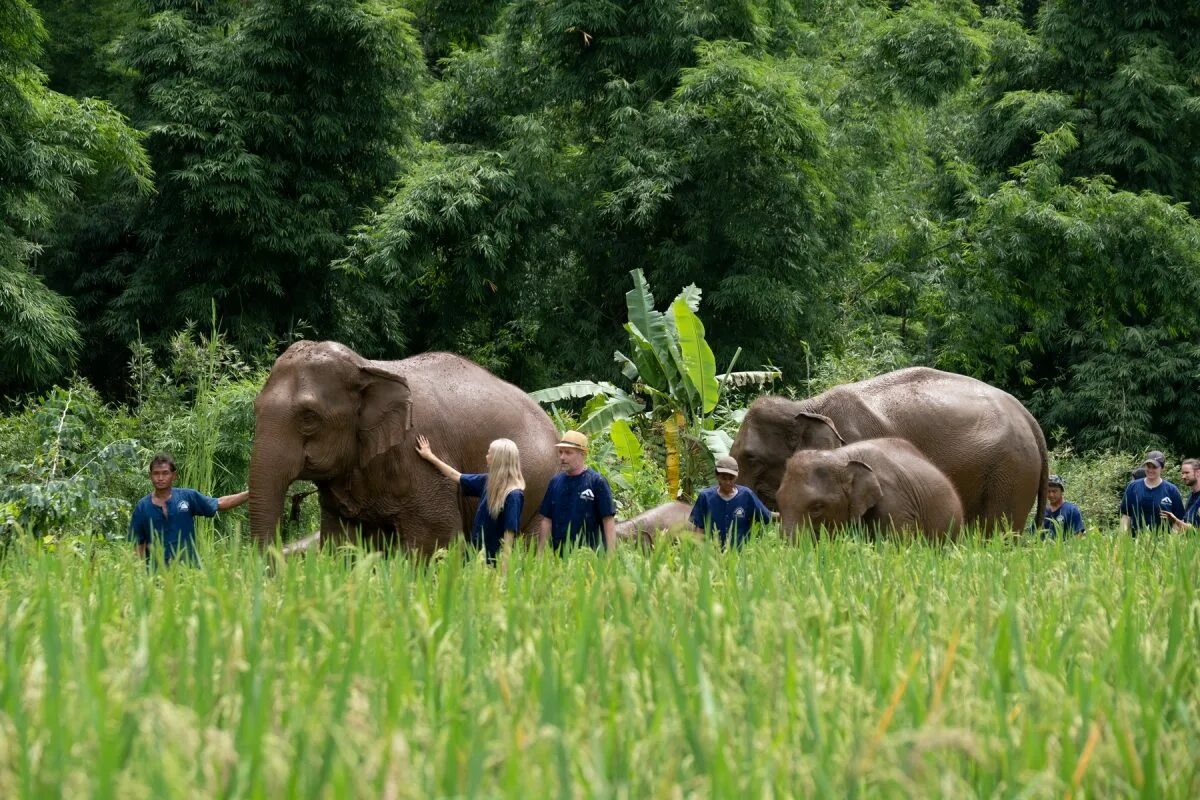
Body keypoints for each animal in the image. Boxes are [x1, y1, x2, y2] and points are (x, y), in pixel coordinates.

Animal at [247, 340, 561, 554]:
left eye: (309, 418)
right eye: (255, 409)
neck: (366, 366)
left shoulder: (421, 466)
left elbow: (435, 540)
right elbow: (341, 540)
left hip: (541, 484)